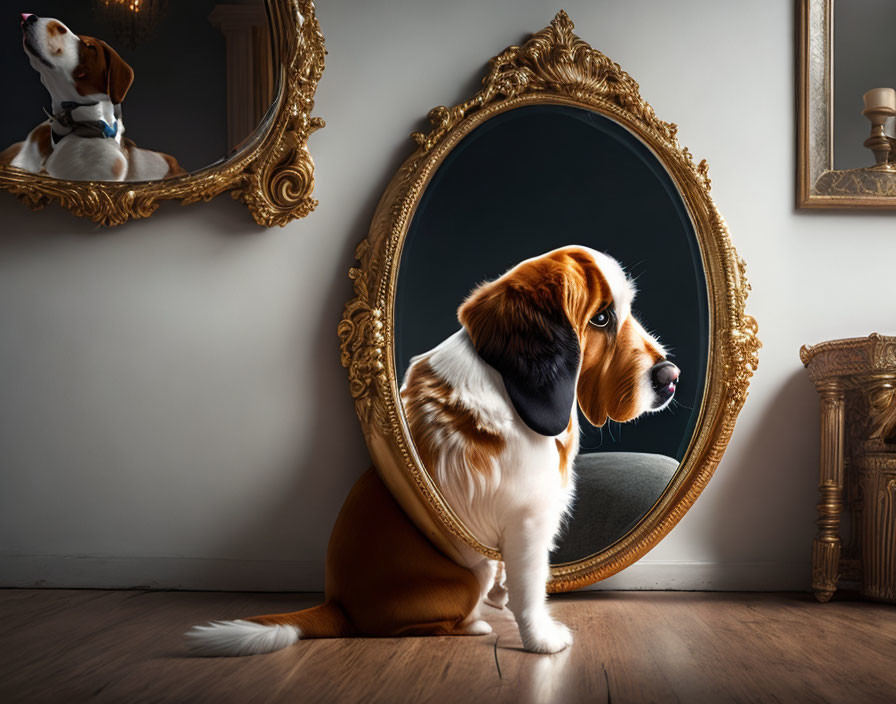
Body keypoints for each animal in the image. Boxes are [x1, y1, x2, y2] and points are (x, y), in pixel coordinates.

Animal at [189, 246, 680, 656]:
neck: (505, 385)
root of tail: (338, 604)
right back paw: (475, 625)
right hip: (463, 579)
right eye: (601, 319)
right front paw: (541, 640)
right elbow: (530, 589)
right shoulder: (529, 524)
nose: (671, 377)